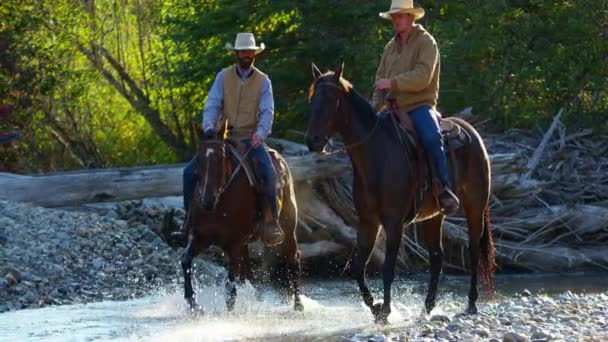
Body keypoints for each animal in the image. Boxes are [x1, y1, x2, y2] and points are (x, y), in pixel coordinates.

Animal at [180, 133, 304, 312]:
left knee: (293, 260)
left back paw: (298, 304)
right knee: (248, 274)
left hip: (288, 231)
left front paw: (229, 310)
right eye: (199, 160)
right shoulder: (201, 237)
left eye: (221, 159)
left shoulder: (235, 243)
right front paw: (193, 304)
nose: (207, 200)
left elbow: (230, 283)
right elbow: (185, 260)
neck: (218, 205)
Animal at [306, 63, 496, 324]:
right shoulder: (368, 222)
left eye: (331, 99)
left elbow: (388, 269)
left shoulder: (393, 221)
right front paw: (375, 308)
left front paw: (385, 310)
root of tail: (473, 134)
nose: (312, 142)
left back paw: (471, 303)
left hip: (475, 207)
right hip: (435, 215)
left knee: (474, 250)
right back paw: (426, 309)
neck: (377, 156)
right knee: (437, 256)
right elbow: (358, 267)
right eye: (312, 98)